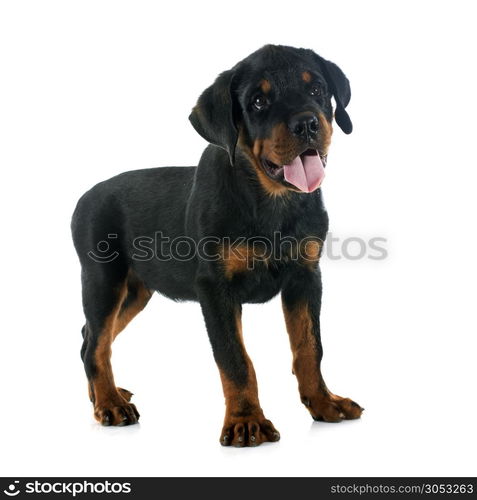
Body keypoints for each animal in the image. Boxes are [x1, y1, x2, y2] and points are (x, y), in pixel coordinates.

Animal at [70, 45, 362, 448]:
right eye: (258, 101)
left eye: (317, 89)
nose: (307, 124)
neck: (270, 200)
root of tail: (85, 195)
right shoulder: (216, 288)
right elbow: (235, 359)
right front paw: (246, 422)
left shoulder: (305, 277)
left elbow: (309, 346)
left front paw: (323, 402)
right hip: (103, 281)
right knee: (97, 343)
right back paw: (110, 404)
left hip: (136, 292)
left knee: (89, 339)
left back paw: (101, 396)